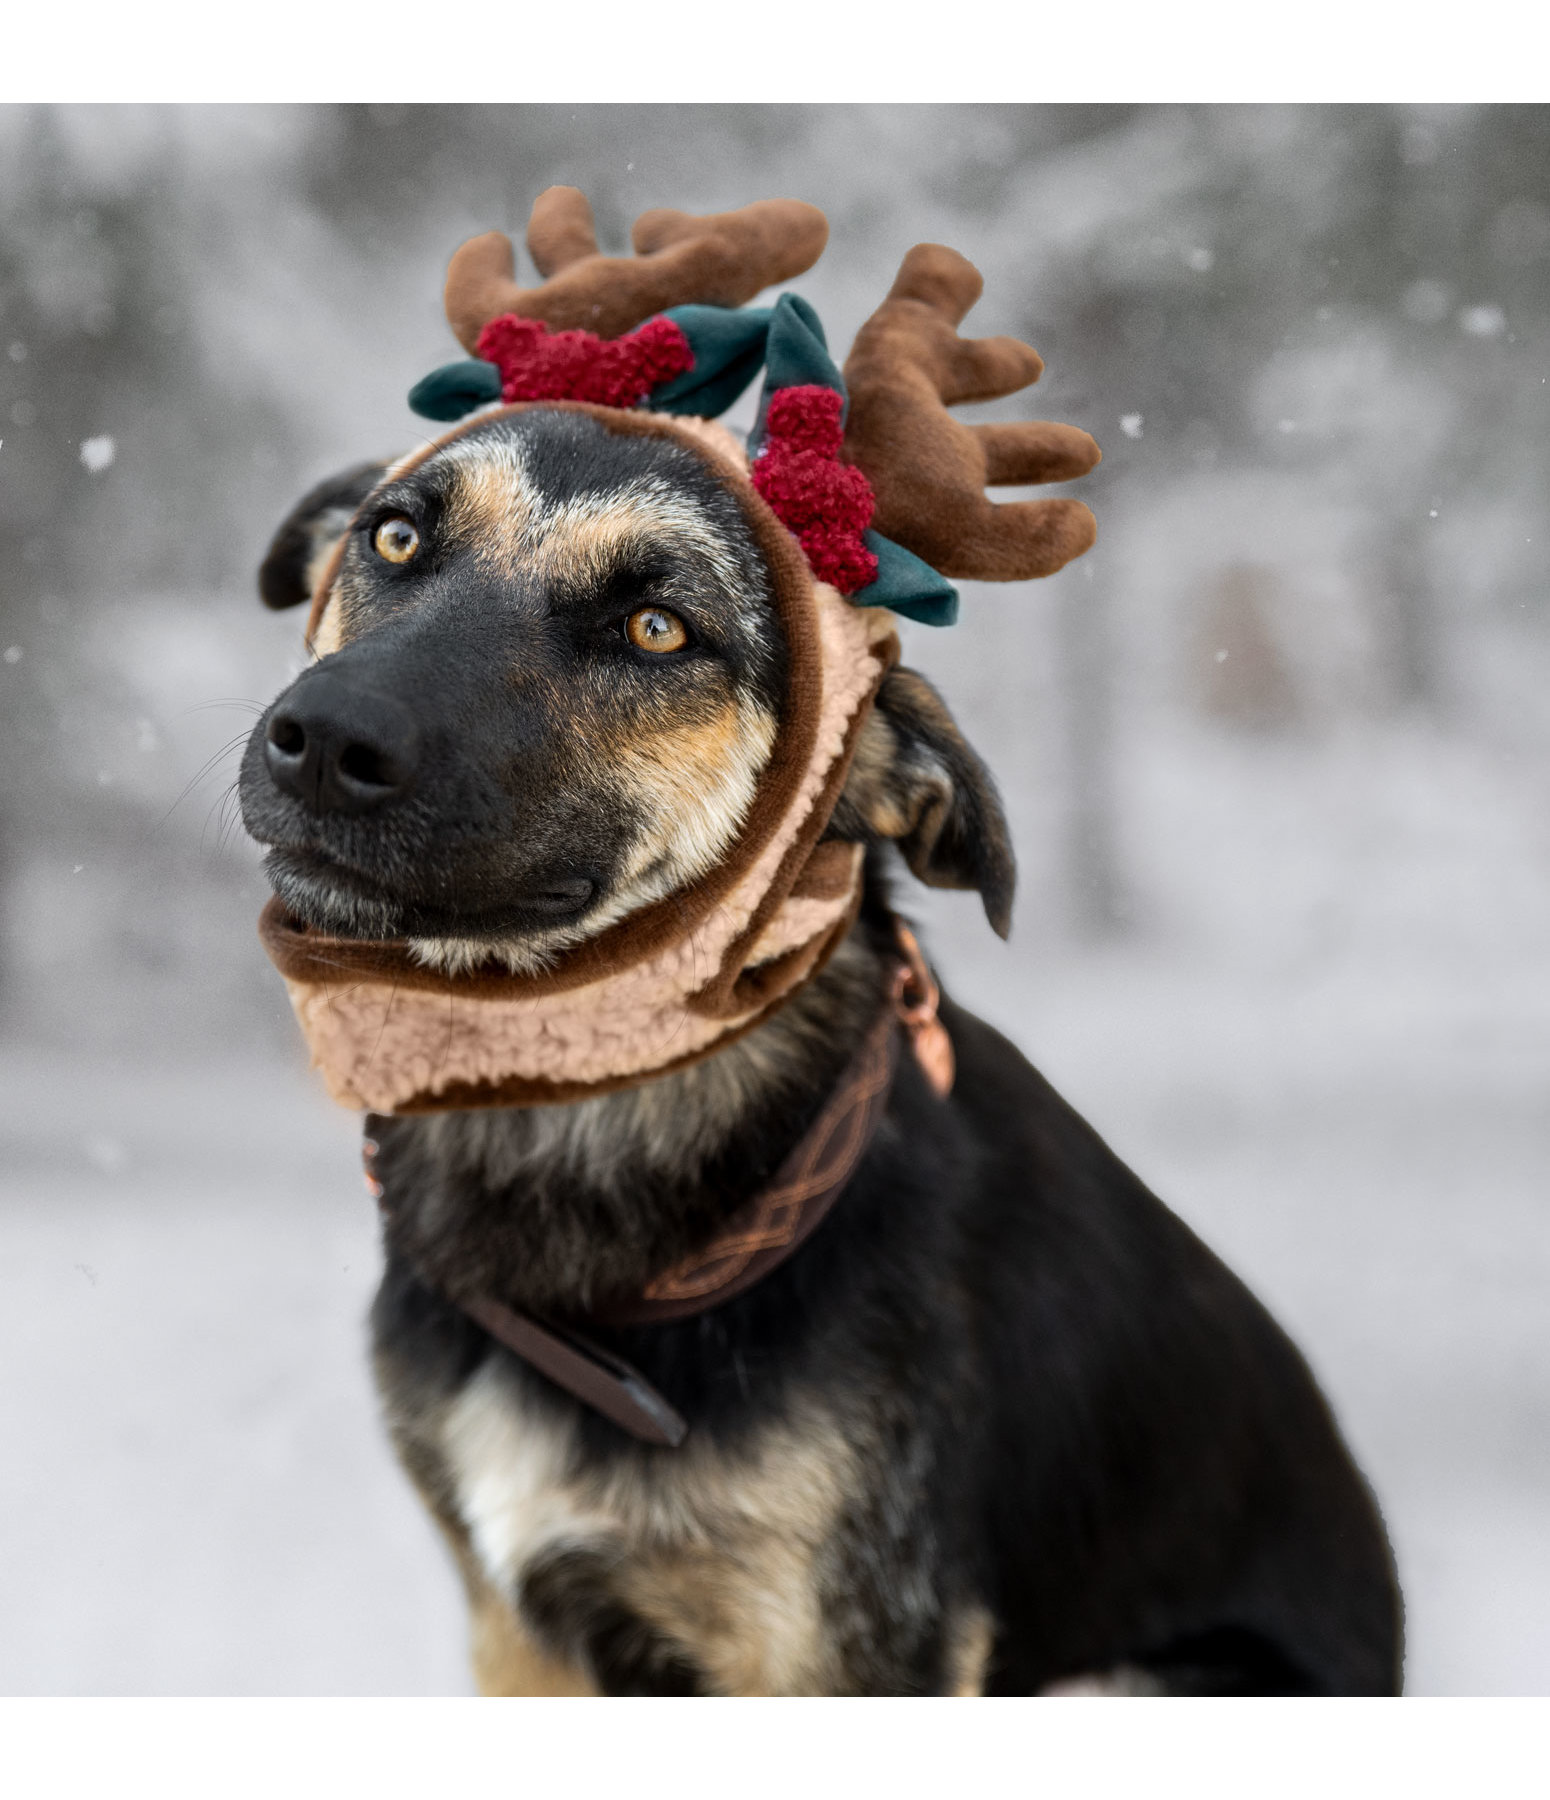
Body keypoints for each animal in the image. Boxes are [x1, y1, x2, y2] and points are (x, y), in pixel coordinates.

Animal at [239, 197, 1404, 1699]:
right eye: (391, 540)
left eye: (655, 627)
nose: (323, 741)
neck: (576, 1117)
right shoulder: (516, 1630)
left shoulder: (849, 1654)